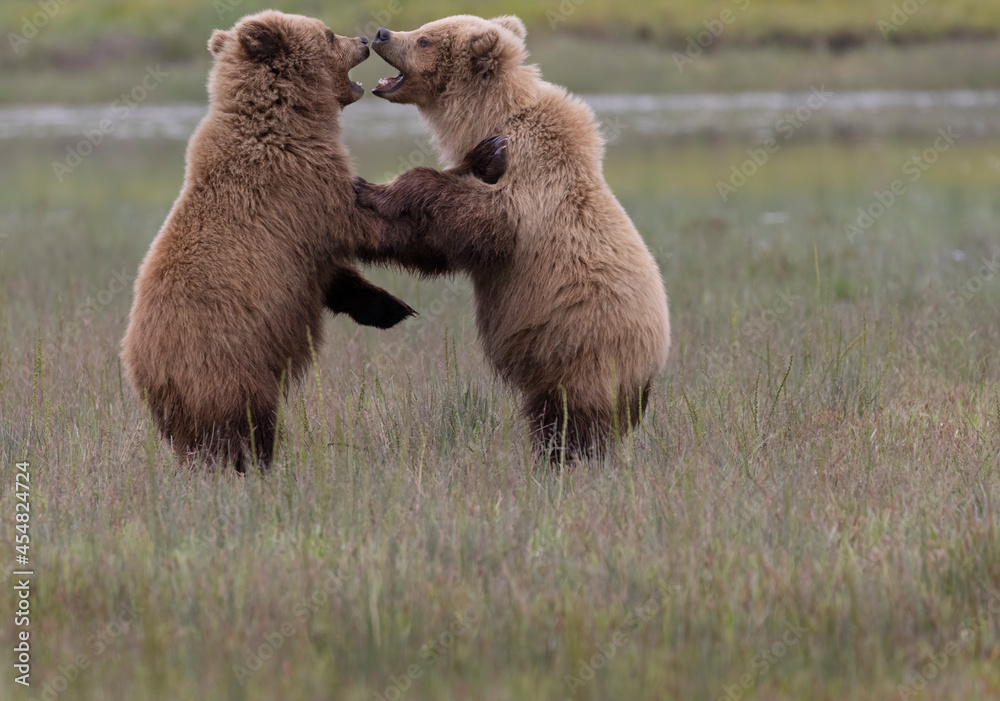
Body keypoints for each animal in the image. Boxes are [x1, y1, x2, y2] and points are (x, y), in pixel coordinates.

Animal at [121, 11, 506, 471]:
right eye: (327, 34)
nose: (363, 38)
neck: (288, 120)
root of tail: (144, 372)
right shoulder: (301, 185)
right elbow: (381, 227)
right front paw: (487, 154)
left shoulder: (302, 227)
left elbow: (335, 273)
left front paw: (389, 307)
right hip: (226, 368)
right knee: (244, 428)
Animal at [355, 15, 671, 459]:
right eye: (423, 27)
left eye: (424, 39)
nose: (383, 33)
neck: (489, 118)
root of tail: (650, 370)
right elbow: (435, 241)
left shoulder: (528, 176)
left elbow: (486, 221)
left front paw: (375, 188)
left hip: (580, 351)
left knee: (567, 418)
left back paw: (559, 457)